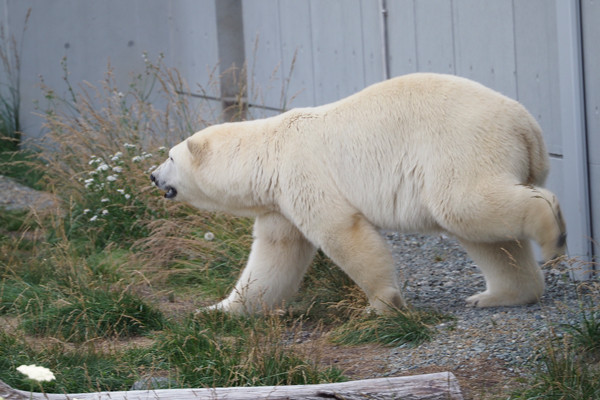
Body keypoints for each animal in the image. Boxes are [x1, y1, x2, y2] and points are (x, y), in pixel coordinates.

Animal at [151, 73, 568, 314]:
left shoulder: (303, 173)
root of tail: (528, 128)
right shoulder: (279, 203)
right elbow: (274, 257)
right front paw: (216, 310)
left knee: (463, 206)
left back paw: (552, 233)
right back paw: (497, 295)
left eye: (170, 156)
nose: (152, 175)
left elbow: (343, 232)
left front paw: (382, 305)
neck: (268, 152)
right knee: (487, 238)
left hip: (460, 147)